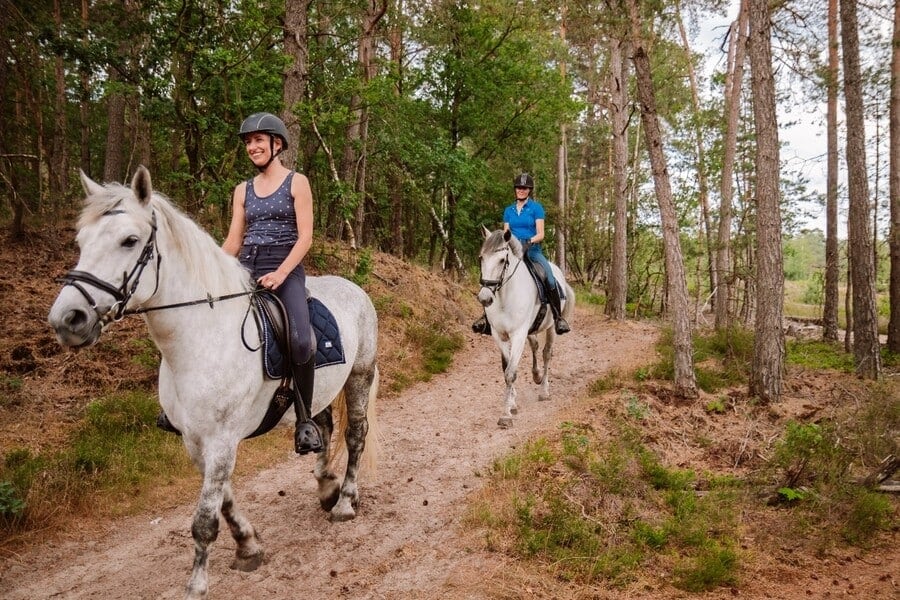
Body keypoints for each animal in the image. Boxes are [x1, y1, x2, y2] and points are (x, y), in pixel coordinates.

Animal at [474, 227, 572, 428]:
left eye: (502, 260)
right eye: (481, 258)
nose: (485, 298)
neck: (505, 296)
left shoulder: (518, 334)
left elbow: (511, 372)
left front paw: (505, 416)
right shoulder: (499, 335)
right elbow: (507, 369)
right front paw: (511, 403)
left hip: (551, 327)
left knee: (547, 354)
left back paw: (544, 390)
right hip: (530, 330)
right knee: (535, 346)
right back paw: (536, 375)